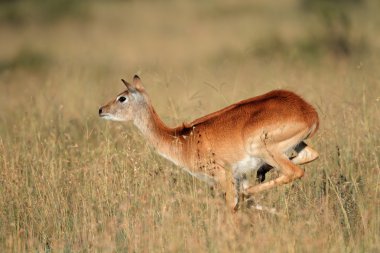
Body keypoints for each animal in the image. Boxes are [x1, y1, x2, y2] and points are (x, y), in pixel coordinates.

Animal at [99, 75, 320, 211]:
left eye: (121, 98)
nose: (101, 110)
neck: (182, 140)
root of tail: (309, 112)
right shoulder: (236, 177)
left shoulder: (224, 176)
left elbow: (231, 206)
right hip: (293, 145)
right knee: (310, 156)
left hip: (262, 147)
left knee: (294, 172)